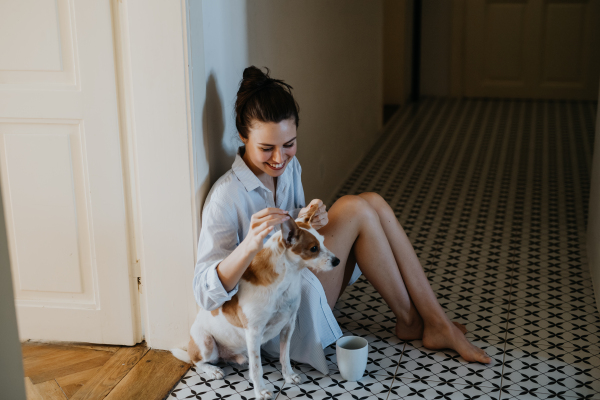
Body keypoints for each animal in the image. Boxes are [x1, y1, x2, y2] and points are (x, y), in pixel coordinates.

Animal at [171, 205, 340, 398]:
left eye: (323, 242)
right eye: (313, 248)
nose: (337, 261)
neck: (287, 280)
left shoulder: (288, 326)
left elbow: (284, 356)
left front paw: (288, 376)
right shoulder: (253, 333)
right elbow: (257, 368)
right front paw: (261, 391)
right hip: (206, 344)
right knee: (197, 361)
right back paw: (212, 370)